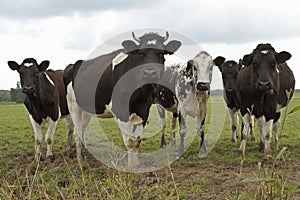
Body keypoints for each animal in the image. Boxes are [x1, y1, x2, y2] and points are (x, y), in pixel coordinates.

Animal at [64, 31, 180, 166]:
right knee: (77, 132)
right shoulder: (121, 111)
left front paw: (136, 165)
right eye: (140, 53)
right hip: (73, 106)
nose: (150, 73)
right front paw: (130, 167)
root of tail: (75, 63)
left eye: (161, 53)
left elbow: (137, 141)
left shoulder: (144, 111)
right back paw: (80, 159)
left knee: (82, 130)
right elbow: (130, 141)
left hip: (86, 109)